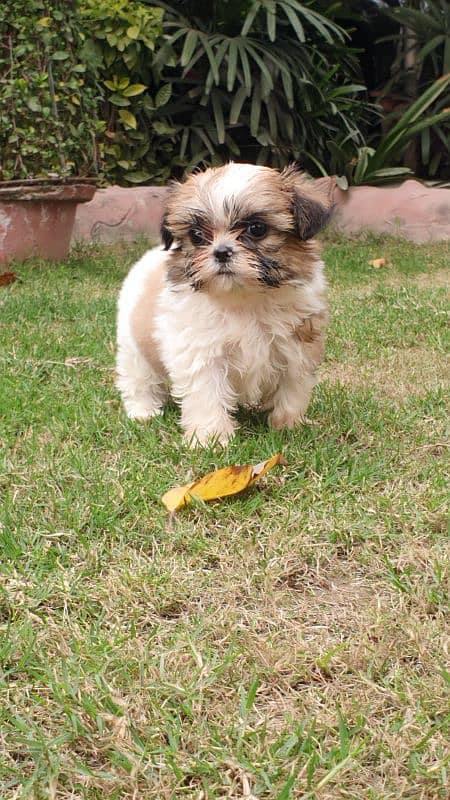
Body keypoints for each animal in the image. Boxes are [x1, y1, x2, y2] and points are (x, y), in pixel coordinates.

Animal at [116, 162, 332, 444]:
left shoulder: (298, 346)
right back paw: (143, 411)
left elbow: (293, 388)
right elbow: (206, 392)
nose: (221, 252)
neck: (244, 298)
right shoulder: (201, 352)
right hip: (133, 346)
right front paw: (211, 438)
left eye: (257, 229)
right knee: (137, 377)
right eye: (197, 236)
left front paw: (289, 425)